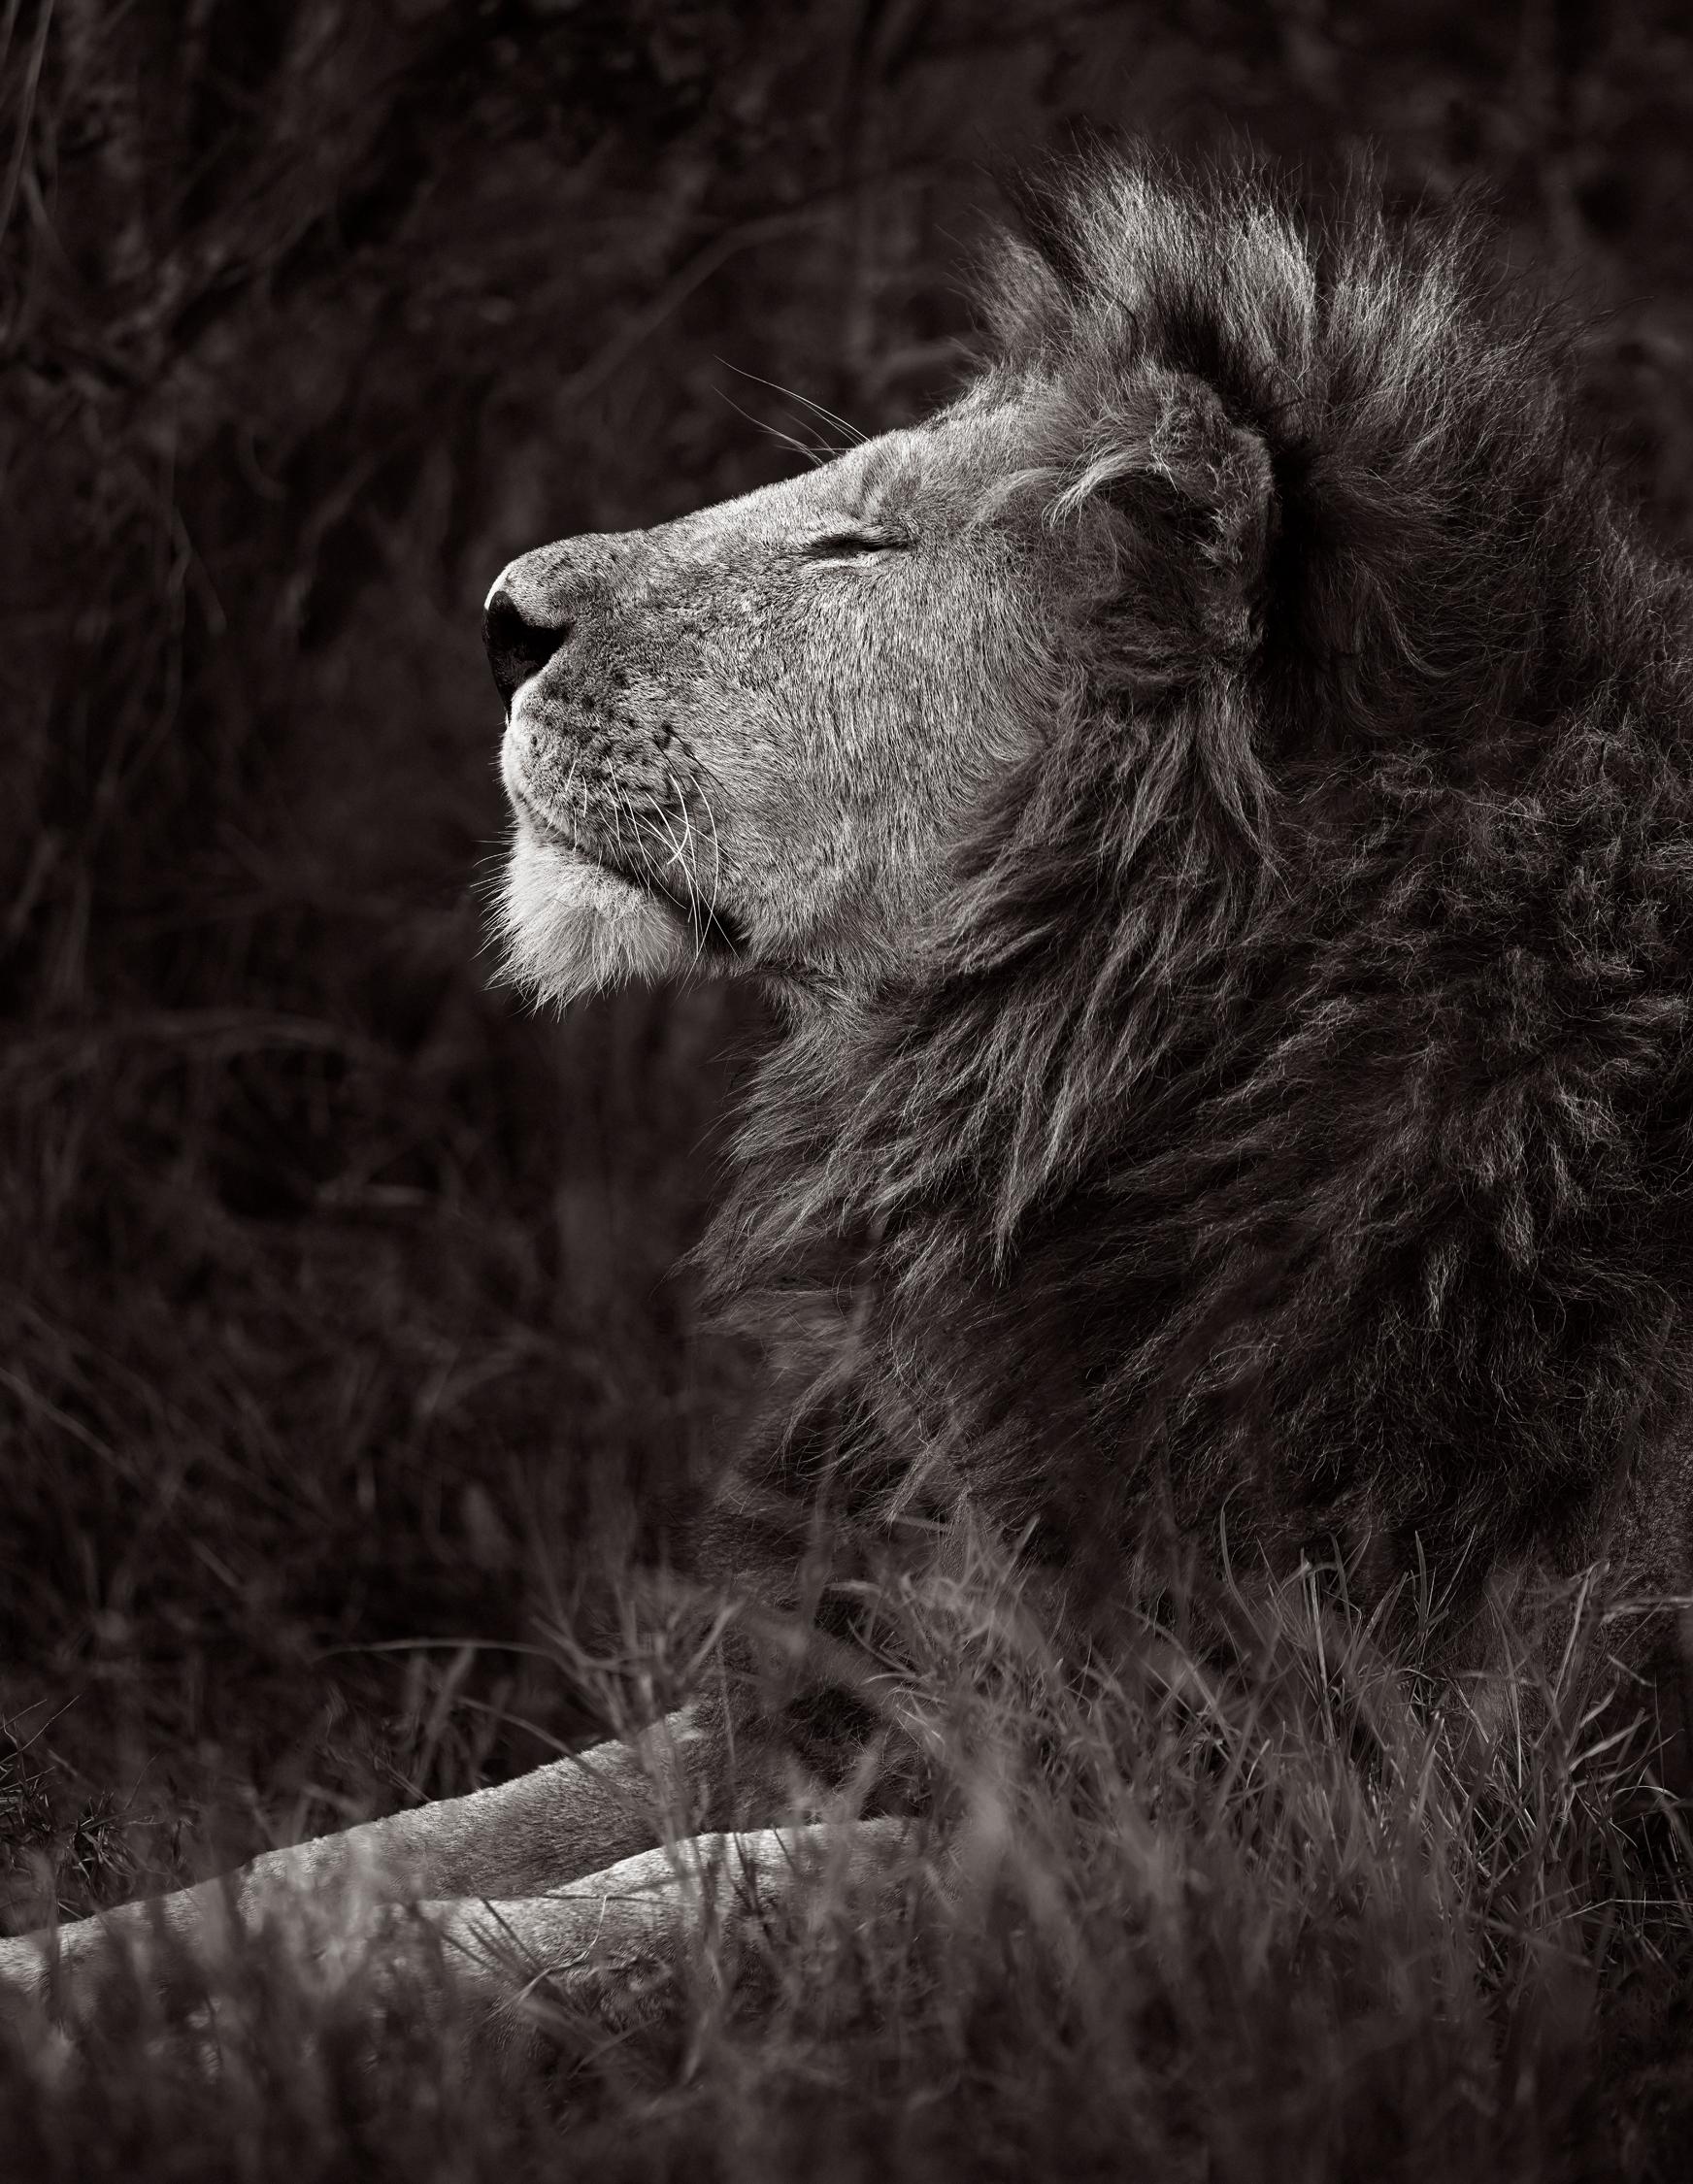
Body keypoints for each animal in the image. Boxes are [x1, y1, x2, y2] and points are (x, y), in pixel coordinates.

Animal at [10, 149, 1693, 2027]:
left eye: (857, 546)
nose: (496, 618)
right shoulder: (872, 1658)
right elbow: (374, 1849)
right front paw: (89, 1967)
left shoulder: (1317, 1844)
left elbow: (674, 1907)